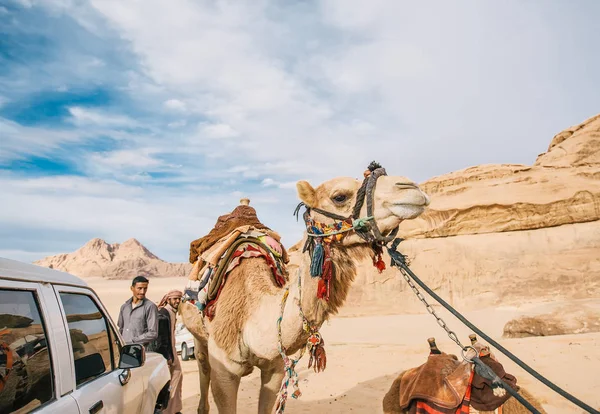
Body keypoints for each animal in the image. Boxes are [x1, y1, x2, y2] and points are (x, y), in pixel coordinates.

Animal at [178, 163, 432, 412]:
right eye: (340, 196)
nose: (412, 188)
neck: (251, 309)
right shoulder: (225, 370)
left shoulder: (275, 367)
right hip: (200, 338)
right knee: (202, 366)